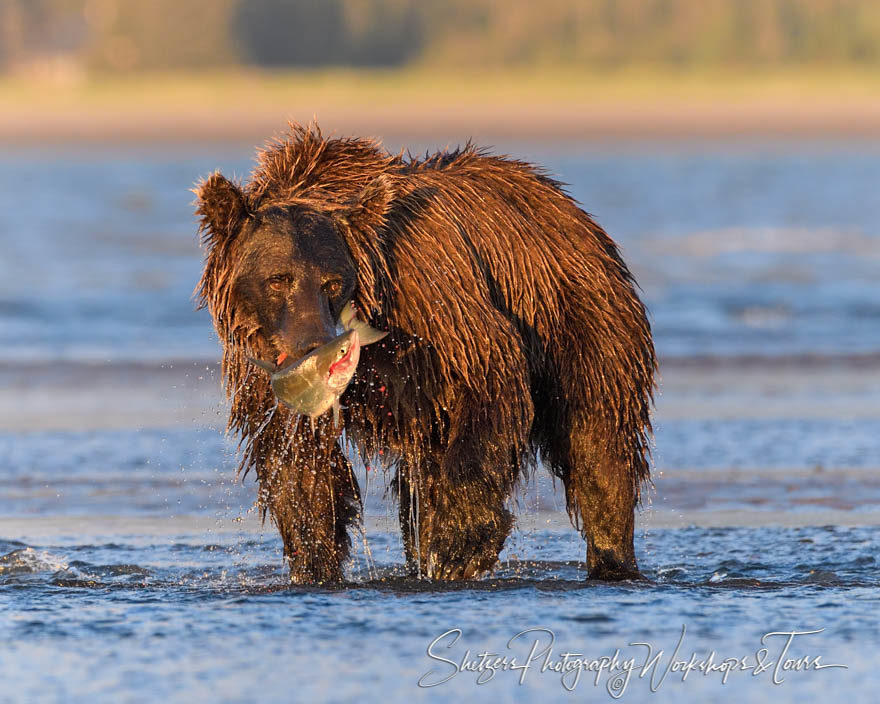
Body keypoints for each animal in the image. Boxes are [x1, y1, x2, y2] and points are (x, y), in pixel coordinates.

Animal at [196, 125, 656, 584]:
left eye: (332, 281)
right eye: (278, 279)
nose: (315, 349)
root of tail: (573, 213)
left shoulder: (438, 306)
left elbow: (488, 385)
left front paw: (461, 546)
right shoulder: (261, 368)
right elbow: (297, 462)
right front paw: (315, 563)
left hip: (579, 318)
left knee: (597, 443)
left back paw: (612, 558)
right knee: (419, 487)